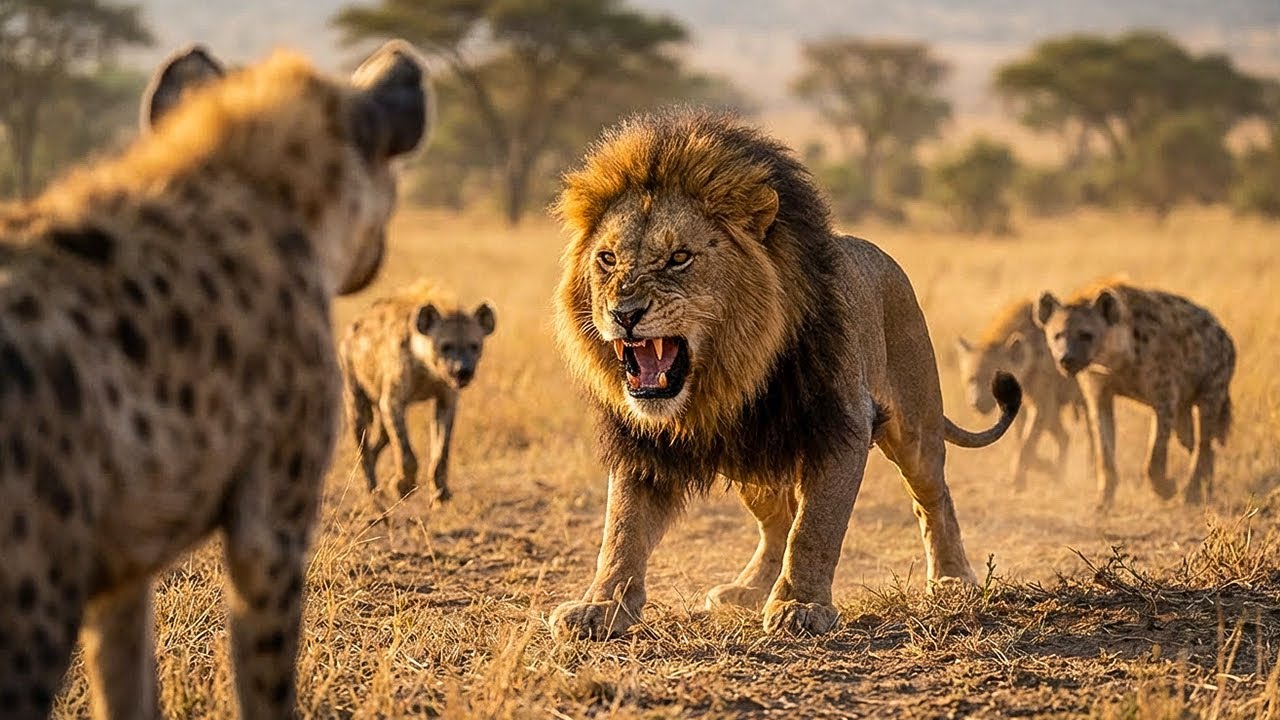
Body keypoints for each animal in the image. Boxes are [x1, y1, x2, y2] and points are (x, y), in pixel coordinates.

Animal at [549, 110, 1021, 639]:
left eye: (679, 258)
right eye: (607, 259)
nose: (624, 313)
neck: (730, 375)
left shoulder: (841, 426)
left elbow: (815, 528)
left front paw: (801, 606)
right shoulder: (643, 443)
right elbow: (622, 530)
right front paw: (599, 606)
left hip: (915, 427)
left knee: (933, 497)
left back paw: (953, 579)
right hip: (751, 462)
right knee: (776, 520)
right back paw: (748, 589)